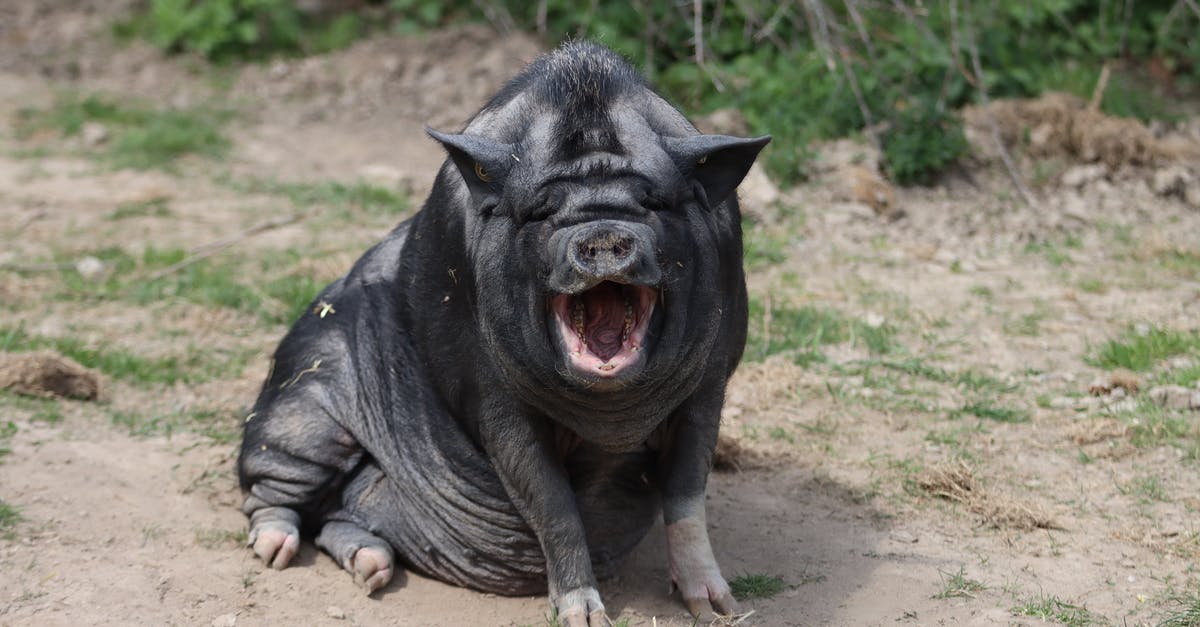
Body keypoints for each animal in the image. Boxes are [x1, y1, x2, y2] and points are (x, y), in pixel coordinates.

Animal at [236, 41, 768, 619]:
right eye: (541, 211)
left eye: (654, 202)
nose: (603, 235)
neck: (610, 419)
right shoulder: (489, 395)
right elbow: (552, 503)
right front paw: (583, 617)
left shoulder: (710, 383)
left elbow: (688, 494)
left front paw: (718, 609)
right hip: (305, 401)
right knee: (272, 492)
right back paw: (274, 552)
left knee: (340, 518)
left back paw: (372, 569)